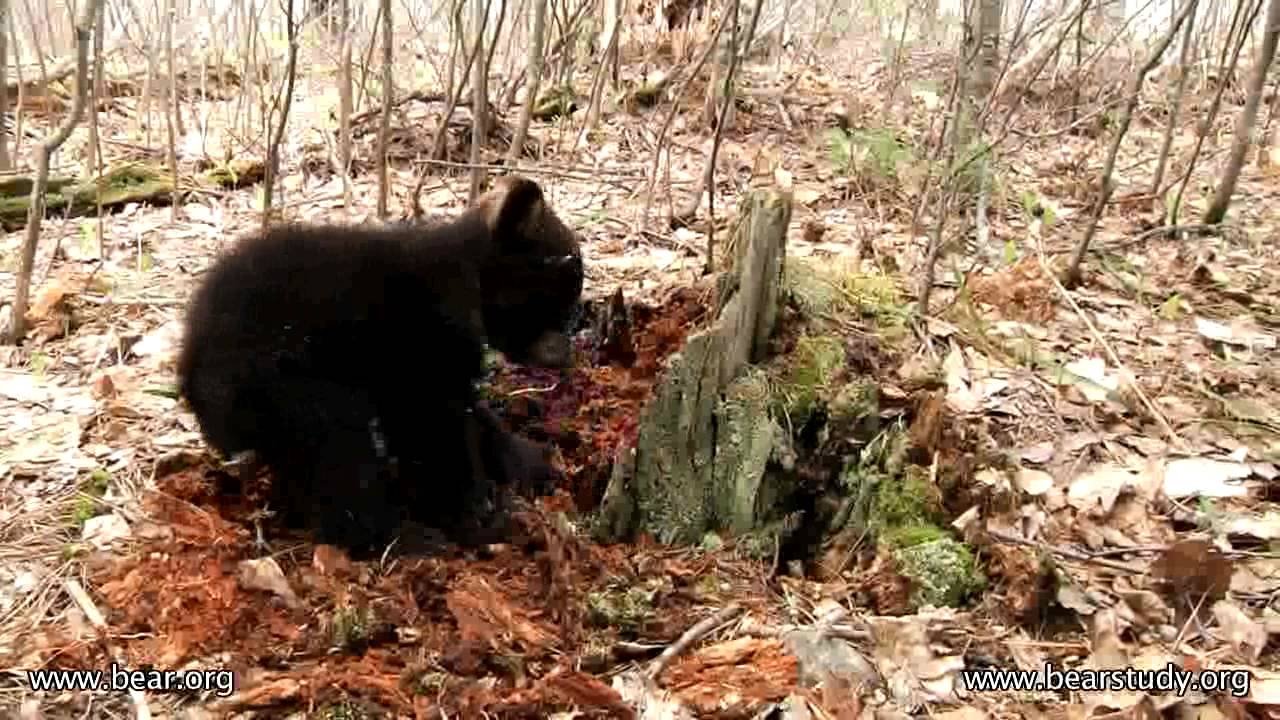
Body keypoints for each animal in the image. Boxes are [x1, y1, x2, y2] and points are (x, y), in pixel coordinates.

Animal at [176, 175, 584, 558]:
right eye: (559, 294)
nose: (564, 354)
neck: (470, 281)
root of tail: (189, 367)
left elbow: (470, 412)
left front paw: (534, 464)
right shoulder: (421, 337)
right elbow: (435, 424)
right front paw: (478, 515)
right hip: (283, 382)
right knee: (338, 449)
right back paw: (405, 537)